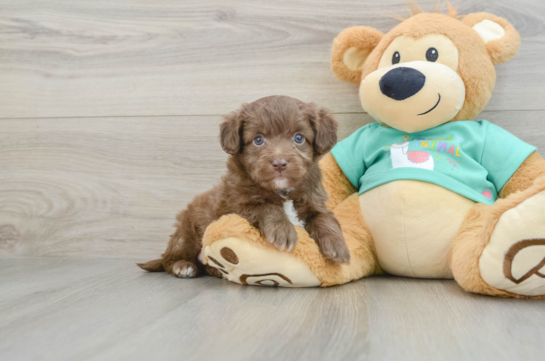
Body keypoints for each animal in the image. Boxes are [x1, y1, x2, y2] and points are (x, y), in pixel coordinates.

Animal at [137, 94, 348, 278]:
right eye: (258, 140)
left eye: (299, 138)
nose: (279, 163)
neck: (282, 191)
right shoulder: (234, 207)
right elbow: (265, 206)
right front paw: (282, 230)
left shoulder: (314, 200)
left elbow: (325, 218)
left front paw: (338, 246)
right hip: (187, 230)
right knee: (171, 257)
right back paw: (182, 266)